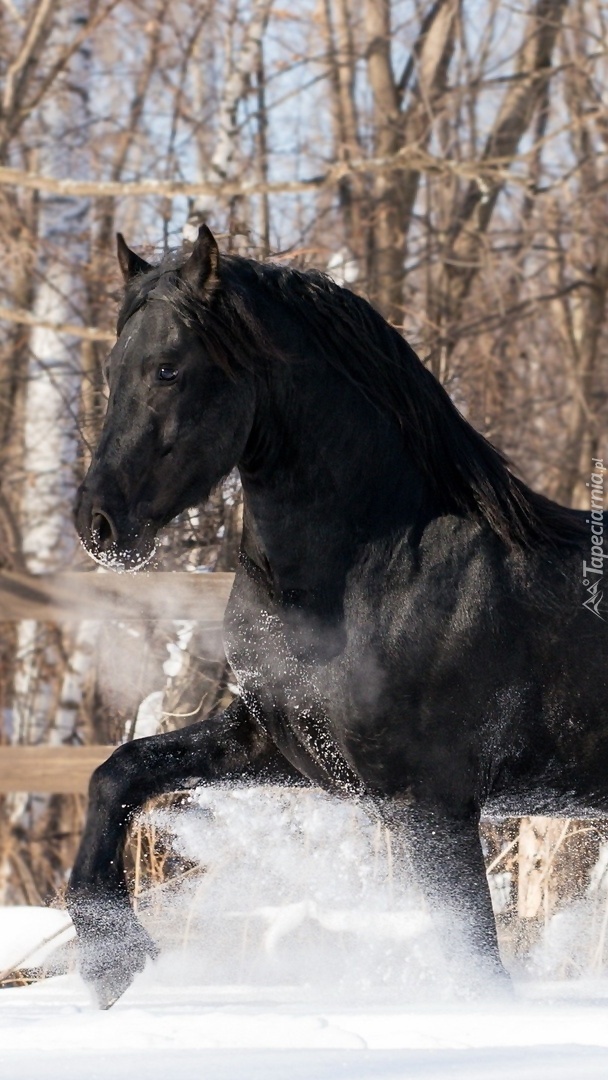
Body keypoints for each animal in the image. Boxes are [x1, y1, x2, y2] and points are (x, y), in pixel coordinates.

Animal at [69, 223, 604, 1006]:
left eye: (168, 368)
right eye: (113, 367)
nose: (97, 523)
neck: (376, 573)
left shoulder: (432, 802)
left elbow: (474, 962)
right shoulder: (281, 745)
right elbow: (120, 771)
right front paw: (111, 958)